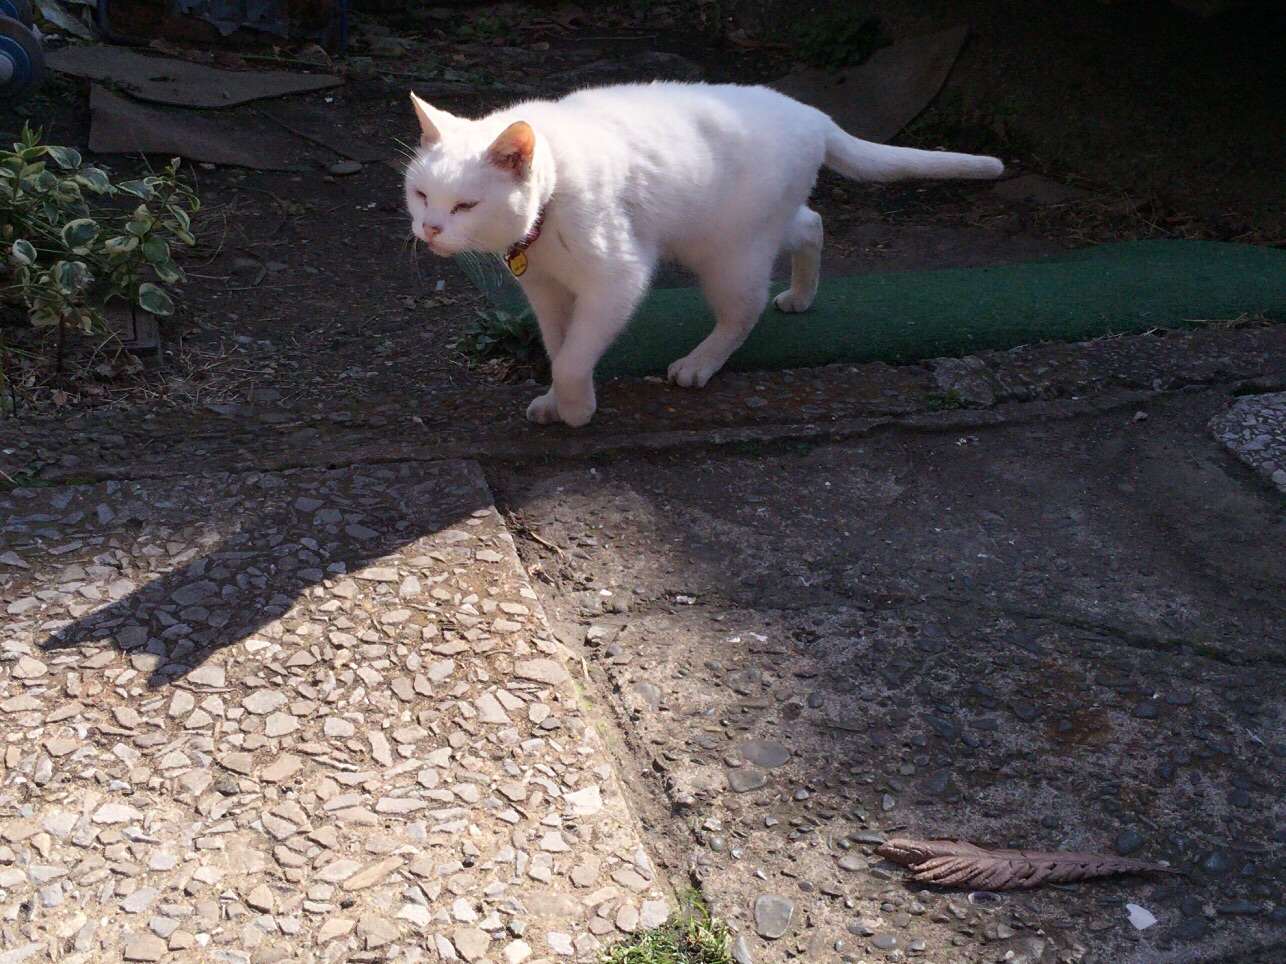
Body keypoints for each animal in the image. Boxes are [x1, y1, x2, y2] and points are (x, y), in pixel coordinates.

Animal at [404, 82, 1003, 427]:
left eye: (465, 205)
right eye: (421, 194)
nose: (429, 229)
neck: (544, 220)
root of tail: (813, 114)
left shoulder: (617, 280)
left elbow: (574, 358)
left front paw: (576, 410)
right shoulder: (547, 290)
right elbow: (559, 348)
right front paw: (555, 401)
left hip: (729, 253)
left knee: (744, 310)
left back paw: (699, 363)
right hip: (744, 232)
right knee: (811, 224)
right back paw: (801, 295)